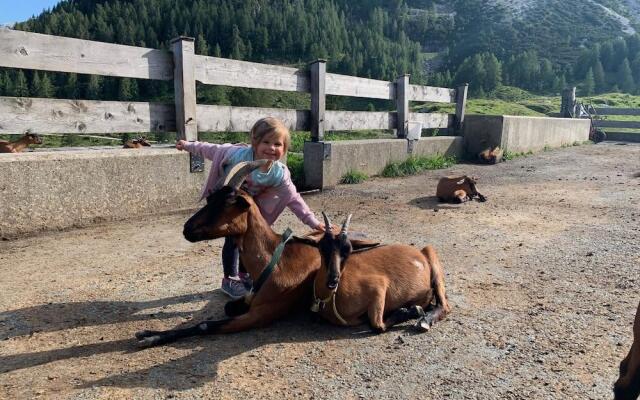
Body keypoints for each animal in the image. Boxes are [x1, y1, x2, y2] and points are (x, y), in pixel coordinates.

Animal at [310, 214, 450, 332]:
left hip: (432, 257)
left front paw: (412, 311)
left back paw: (424, 320)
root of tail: (419, 252)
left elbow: (377, 325)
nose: (333, 279)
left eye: (348, 250)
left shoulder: (378, 286)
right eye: (322, 248)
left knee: (445, 306)